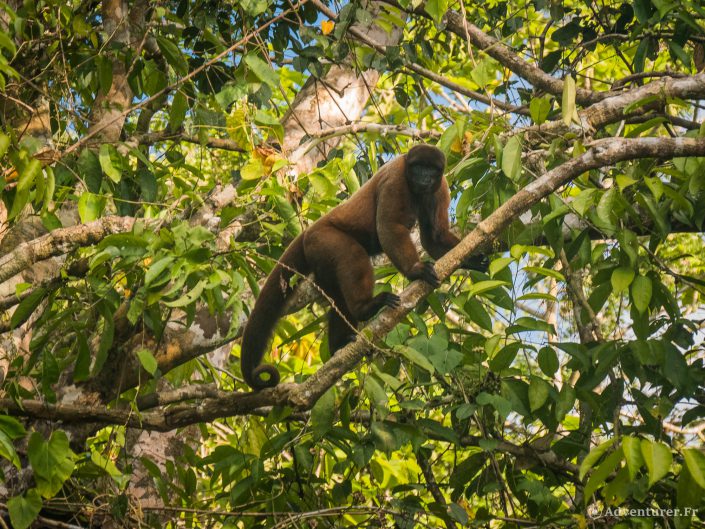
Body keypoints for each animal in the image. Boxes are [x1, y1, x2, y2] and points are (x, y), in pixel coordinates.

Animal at [239, 143, 486, 388]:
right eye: (418, 168)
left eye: (431, 170)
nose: (424, 178)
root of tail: (308, 231)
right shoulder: (396, 177)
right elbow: (389, 227)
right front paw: (415, 270)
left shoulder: (440, 187)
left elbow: (434, 236)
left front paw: (474, 259)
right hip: (325, 239)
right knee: (353, 255)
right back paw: (366, 307)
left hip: (321, 261)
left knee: (338, 297)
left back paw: (339, 344)